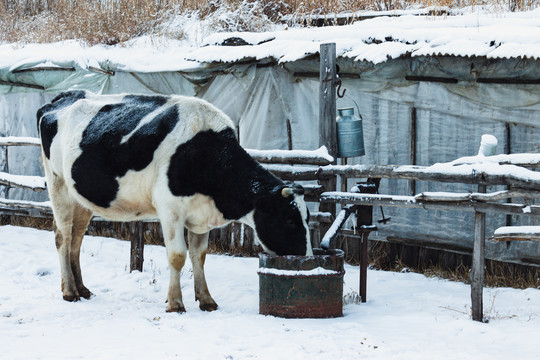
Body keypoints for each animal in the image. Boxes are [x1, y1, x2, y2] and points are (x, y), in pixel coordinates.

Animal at [38, 90, 312, 312]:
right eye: (290, 220)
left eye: (307, 218)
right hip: (58, 185)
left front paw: (206, 300)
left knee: (76, 239)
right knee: (62, 236)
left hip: (80, 199)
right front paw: (175, 303)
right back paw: (69, 291)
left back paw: (82, 289)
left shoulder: (200, 213)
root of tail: (63, 97)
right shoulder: (170, 209)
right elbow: (178, 256)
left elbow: (199, 256)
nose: (307, 257)